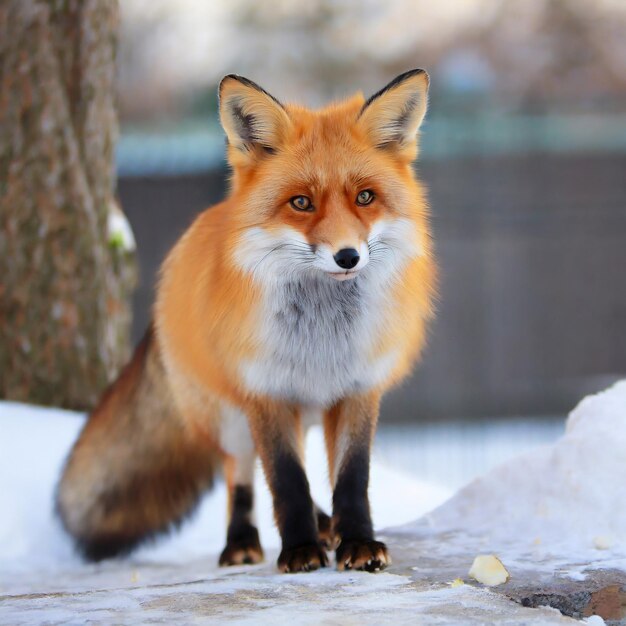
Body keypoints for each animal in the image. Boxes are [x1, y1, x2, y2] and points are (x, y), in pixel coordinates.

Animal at [57, 68, 434, 572]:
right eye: (301, 203)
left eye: (365, 197)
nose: (348, 256)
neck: (322, 338)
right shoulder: (265, 393)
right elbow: (287, 481)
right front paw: (299, 549)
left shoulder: (358, 391)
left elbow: (352, 480)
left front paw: (356, 541)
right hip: (232, 419)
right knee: (240, 475)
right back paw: (243, 542)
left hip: (303, 414)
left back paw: (327, 526)